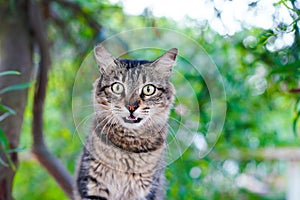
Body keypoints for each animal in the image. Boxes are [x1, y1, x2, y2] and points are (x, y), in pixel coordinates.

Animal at [74, 45, 177, 200]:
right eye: (117, 87)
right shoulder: (93, 184)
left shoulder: (147, 190)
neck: (128, 146)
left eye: (148, 89)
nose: (131, 107)